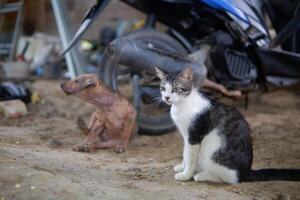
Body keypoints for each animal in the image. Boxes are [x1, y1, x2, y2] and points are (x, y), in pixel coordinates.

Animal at [155, 66, 300, 184]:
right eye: (163, 88)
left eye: (176, 89)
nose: (166, 97)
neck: (183, 104)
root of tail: (246, 172)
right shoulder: (186, 136)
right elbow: (185, 153)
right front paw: (181, 167)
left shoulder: (194, 135)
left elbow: (190, 157)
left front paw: (185, 175)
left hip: (214, 152)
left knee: (231, 179)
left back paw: (201, 175)